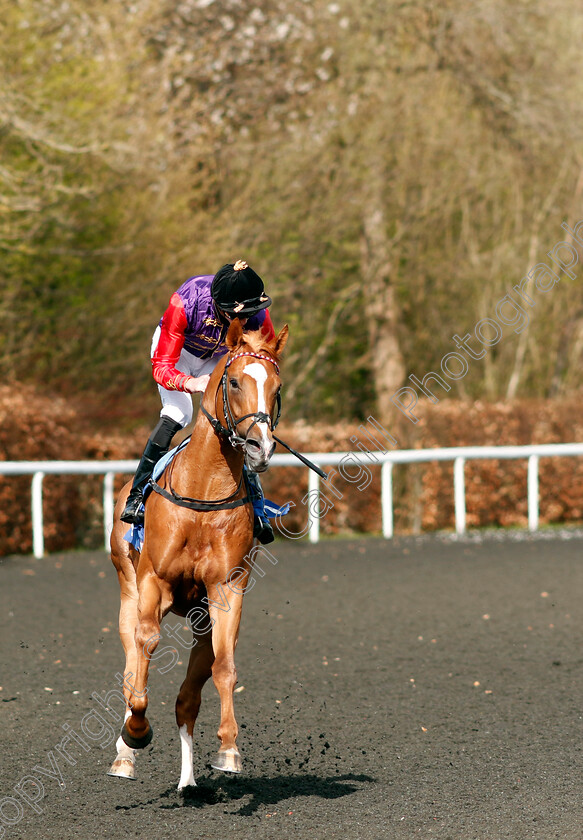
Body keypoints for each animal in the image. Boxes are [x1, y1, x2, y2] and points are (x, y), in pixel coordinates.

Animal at [108, 320, 290, 788]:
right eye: (234, 381)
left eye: (277, 386)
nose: (260, 447)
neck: (204, 491)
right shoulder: (153, 582)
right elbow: (146, 649)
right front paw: (136, 733)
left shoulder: (226, 588)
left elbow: (224, 668)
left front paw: (228, 749)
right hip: (128, 589)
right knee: (131, 668)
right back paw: (125, 752)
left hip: (200, 616)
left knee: (187, 697)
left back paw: (188, 779)